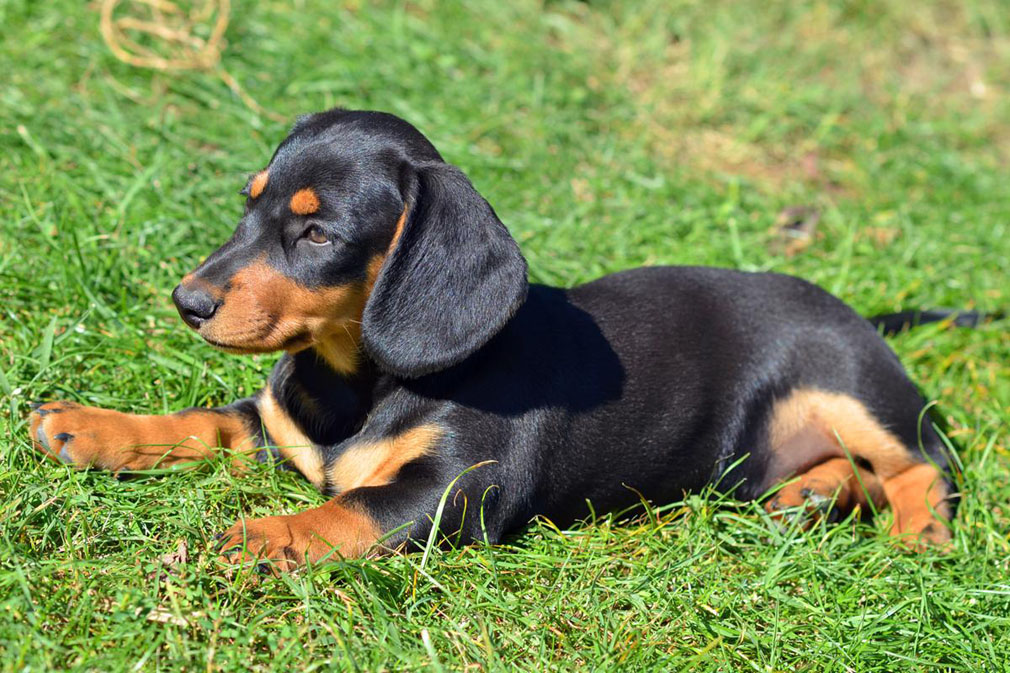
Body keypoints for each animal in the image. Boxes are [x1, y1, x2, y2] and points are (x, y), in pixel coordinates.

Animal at [25, 107, 953, 569]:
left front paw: (261, 535)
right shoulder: (277, 418)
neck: (358, 381)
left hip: (851, 385)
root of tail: (860, 315)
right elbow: (204, 422)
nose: (187, 301)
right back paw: (809, 496)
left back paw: (919, 537)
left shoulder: (452, 491)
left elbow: (345, 508)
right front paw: (88, 425)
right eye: (249, 203)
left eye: (317, 234)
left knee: (924, 464)